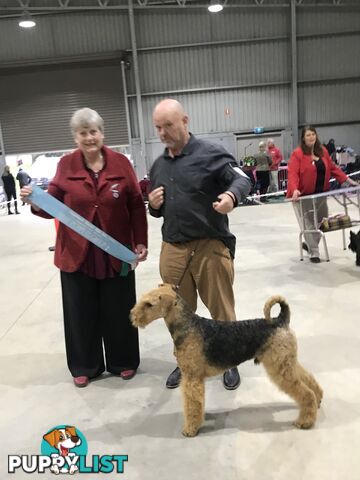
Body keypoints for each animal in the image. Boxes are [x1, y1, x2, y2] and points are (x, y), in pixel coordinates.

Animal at [130, 284, 324, 438]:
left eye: (149, 304)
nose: (132, 317)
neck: (188, 326)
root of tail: (280, 320)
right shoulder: (194, 378)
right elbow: (197, 403)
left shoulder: (192, 378)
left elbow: (192, 404)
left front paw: (190, 429)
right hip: (287, 361)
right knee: (308, 380)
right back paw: (318, 400)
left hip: (279, 365)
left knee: (305, 393)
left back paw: (305, 421)